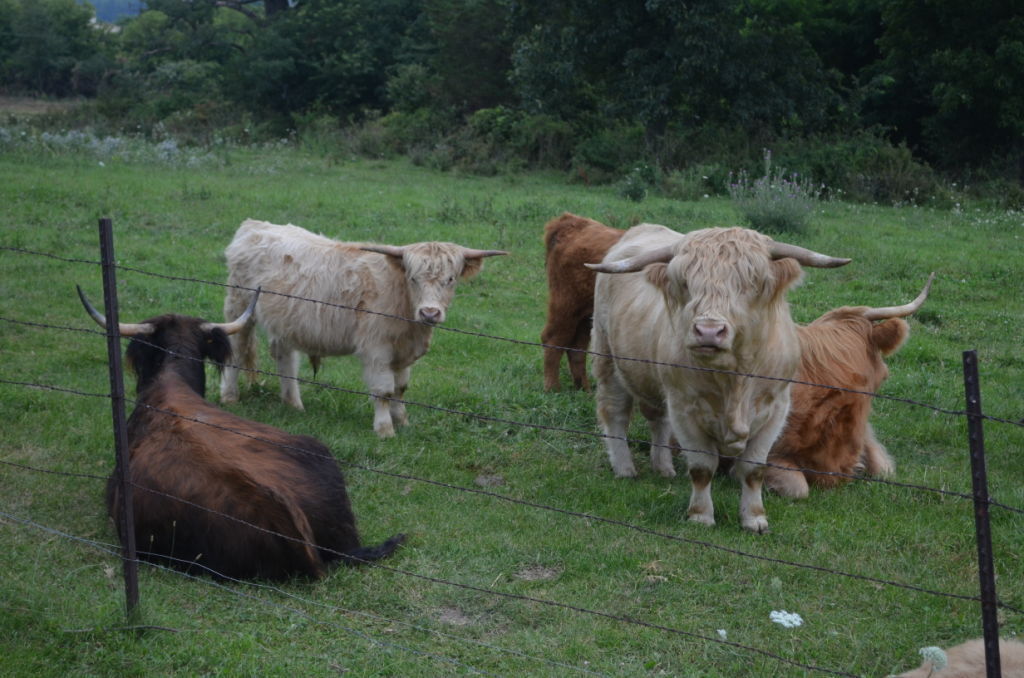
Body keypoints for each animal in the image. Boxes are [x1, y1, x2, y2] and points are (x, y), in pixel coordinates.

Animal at [219, 219, 507, 438]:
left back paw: (294, 404)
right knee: (237, 349)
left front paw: (402, 421)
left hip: (286, 320)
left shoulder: (403, 352)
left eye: (450, 279)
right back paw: (230, 396)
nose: (430, 312)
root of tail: (254, 226)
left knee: (285, 358)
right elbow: (384, 390)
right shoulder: (376, 348)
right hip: (239, 305)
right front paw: (385, 429)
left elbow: (401, 388)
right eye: (413, 278)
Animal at [541, 212, 624, 391]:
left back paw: (583, 388)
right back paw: (552, 387)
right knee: (552, 339)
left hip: (585, 314)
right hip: (567, 306)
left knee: (576, 347)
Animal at [588, 223, 850, 533]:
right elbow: (702, 467)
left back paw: (663, 468)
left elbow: (753, 469)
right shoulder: (684, 407)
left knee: (657, 419)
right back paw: (625, 468)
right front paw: (700, 515)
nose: (708, 331)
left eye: (752, 283)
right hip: (607, 358)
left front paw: (754, 518)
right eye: (685, 283)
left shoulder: (776, 408)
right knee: (615, 412)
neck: (734, 381)